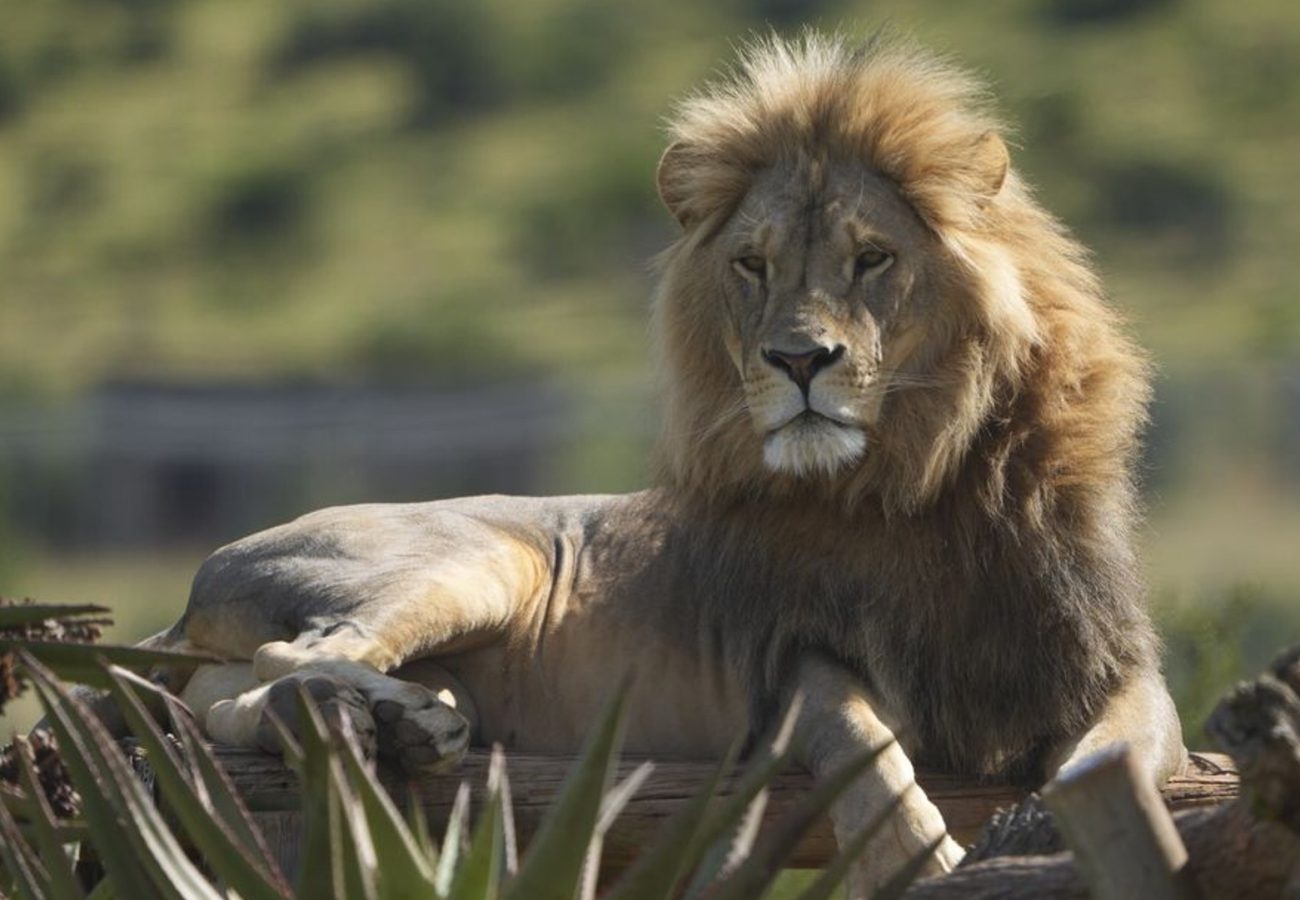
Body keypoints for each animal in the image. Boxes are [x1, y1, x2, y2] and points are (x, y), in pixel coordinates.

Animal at [116, 33, 1185, 894]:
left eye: (872, 258)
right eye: (752, 266)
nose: (799, 360)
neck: (913, 482)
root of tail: (198, 581)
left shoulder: (1106, 657)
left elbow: (1125, 747)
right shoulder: (792, 666)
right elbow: (865, 748)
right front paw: (924, 861)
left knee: (238, 706)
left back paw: (411, 719)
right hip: (482, 559)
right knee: (290, 661)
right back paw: (388, 712)